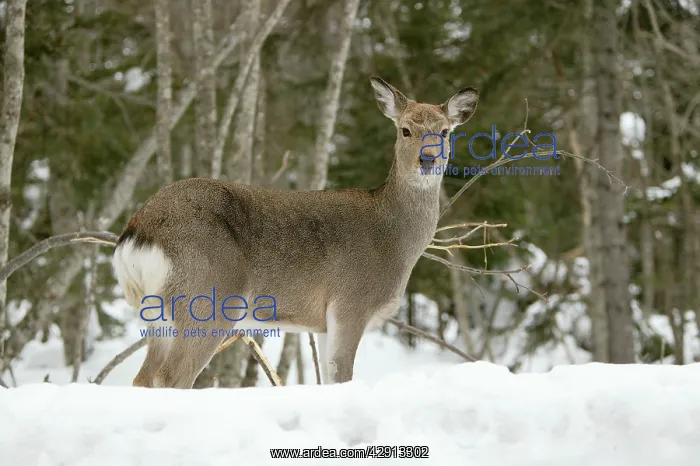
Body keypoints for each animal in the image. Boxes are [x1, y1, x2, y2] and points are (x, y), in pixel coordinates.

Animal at [112, 76, 479, 388]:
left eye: (445, 132)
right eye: (405, 130)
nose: (427, 159)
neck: (394, 240)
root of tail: (137, 230)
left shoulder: (324, 322)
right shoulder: (351, 301)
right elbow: (342, 377)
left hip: (158, 313)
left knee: (143, 379)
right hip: (207, 296)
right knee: (171, 377)